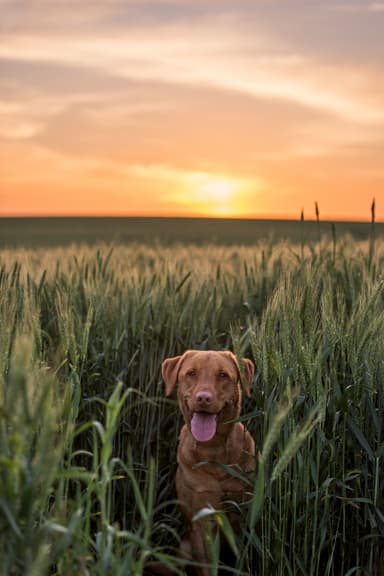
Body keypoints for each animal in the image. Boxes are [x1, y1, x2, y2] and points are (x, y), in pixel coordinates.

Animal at [162, 352, 255, 576]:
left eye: (223, 375)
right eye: (191, 373)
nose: (203, 398)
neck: (213, 450)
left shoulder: (243, 513)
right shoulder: (202, 521)